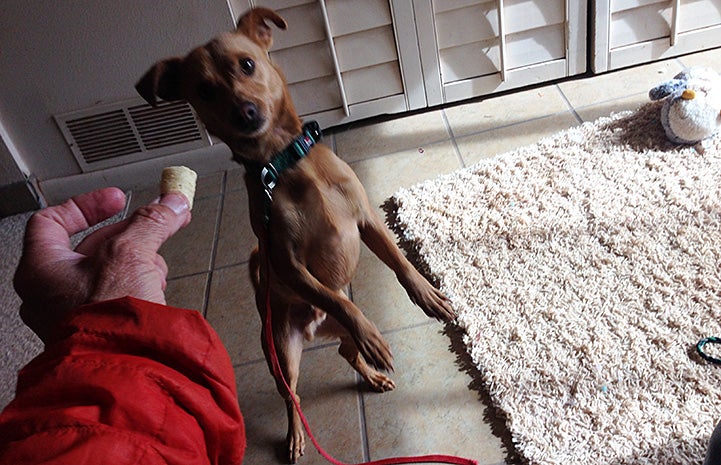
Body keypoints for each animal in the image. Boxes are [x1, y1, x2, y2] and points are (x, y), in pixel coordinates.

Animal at [137, 6, 452, 460]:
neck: (285, 163)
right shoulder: (285, 262)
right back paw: (296, 433)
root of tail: (314, 328)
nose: (245, 112)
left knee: (345, 350)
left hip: (330, 338)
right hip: (282, 354)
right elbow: (339, 300)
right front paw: (373, 333)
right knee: (293, 395)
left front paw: (426, 294)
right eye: (205, 91)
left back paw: (372, 376)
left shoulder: (366, 220)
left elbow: (399, 262)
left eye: (247, 64)